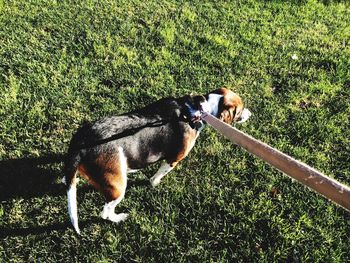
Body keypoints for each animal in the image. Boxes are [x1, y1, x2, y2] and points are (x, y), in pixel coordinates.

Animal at [63, 88, 252, 235]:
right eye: (240, 110)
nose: (251, 114)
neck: (199, 108)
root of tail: (79, 146)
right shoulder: (173, 159)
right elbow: (158, 175)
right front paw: (154, 183)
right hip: (118, 187)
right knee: (106, 212)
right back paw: (119, 218)